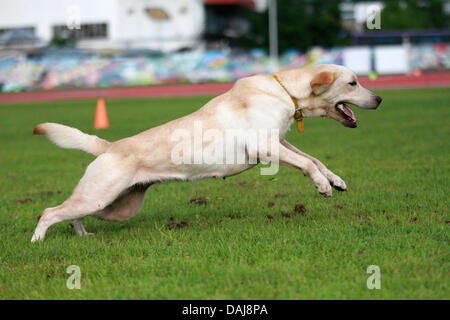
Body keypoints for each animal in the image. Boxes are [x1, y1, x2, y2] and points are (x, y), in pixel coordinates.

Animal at [29, 63, 382, 241]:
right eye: (353, 83)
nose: (379, 99)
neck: (285, 92)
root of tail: (109, 146)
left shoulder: (280, 143)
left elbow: (314, 159)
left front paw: (335, 181)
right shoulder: (265, 148)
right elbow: (307, 165)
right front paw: (322, 186)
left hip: (116, 206)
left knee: (71, 214)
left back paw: (83, 236)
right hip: (100, 196)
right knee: (49, 211)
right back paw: (38, 242)